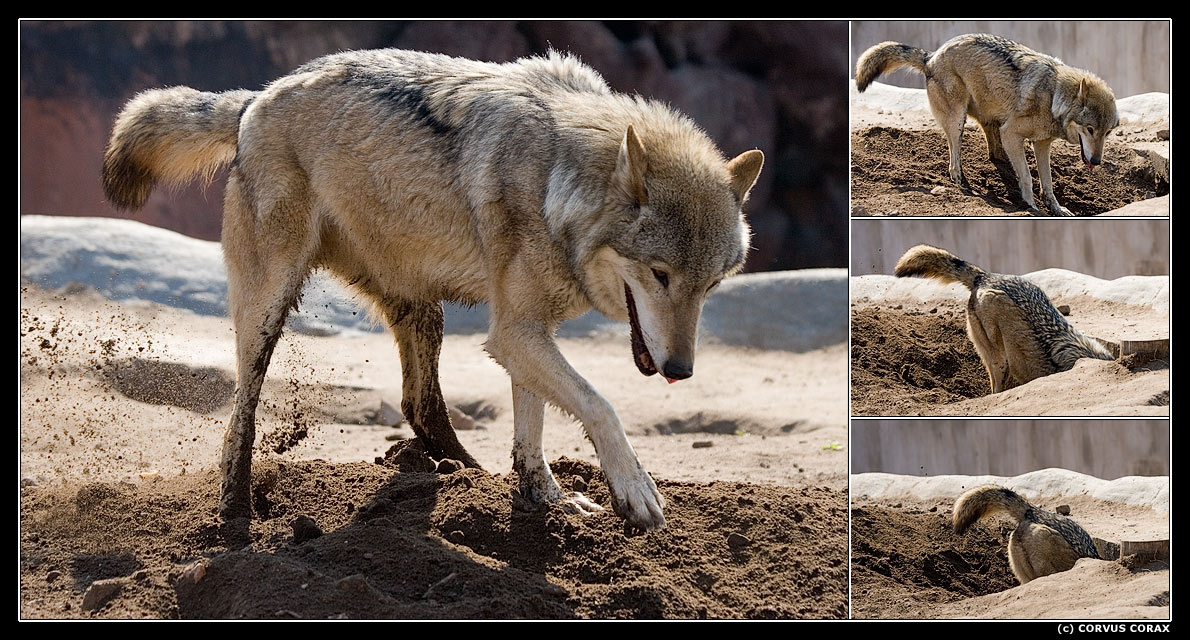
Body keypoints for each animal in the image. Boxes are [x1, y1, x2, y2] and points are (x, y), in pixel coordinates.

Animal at [101, 49, 764, 531]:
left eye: (710, 285)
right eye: (660, 275)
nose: (680, 370)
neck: (557, 176)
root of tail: (253, 99)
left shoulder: (526, 332)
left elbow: (532, 429)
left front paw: (545, 500)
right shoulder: (514, 334)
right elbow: (601, 405)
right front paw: (634, 490)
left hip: (423, 311)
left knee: (419, 406)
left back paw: (463, 475)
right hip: (270, 307)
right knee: (242, 409)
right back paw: (235, 510)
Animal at [855, 33, 1119, 216]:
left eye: (1107, 133)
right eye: (1090, 129)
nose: (1096, 161)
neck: (1054, 96)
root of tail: (931, 56)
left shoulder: (1042, 144)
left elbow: (1048, 183)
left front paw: (1056, 209)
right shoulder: (1012, 133)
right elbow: (1028, 177)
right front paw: (1031, 207)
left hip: (990, 119)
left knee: (994, 153)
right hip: (959, 120)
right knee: (954, 161)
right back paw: (962, 183)